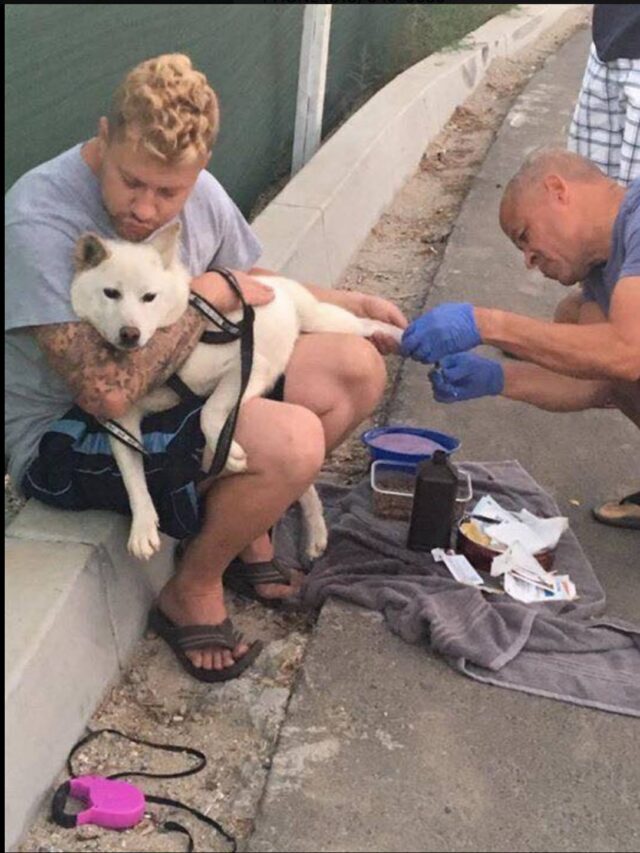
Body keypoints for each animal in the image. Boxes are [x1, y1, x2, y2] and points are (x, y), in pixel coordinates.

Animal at [70, 223, 400, 564]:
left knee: (367, 323)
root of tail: (271, 280)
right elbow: (131, 476)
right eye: (111, 293)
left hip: (328, 321)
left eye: (149, 297)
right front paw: (143, 527)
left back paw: (399, 334)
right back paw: (315, 533)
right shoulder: (121, 421)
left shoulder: (248, 366)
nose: (130, 334)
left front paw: (227, 452)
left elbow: (208, 409)